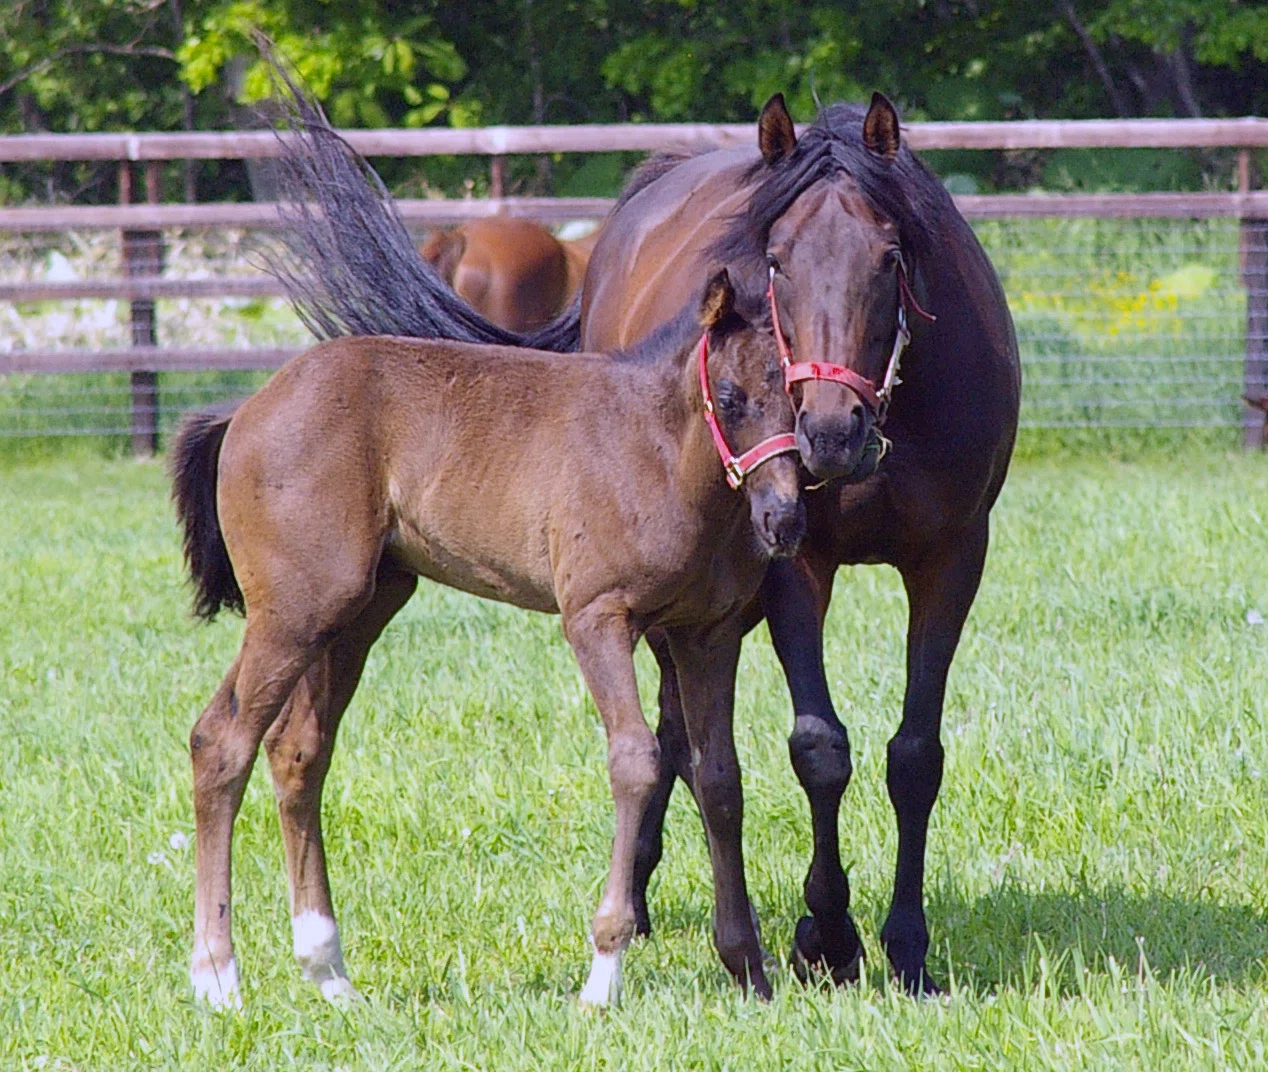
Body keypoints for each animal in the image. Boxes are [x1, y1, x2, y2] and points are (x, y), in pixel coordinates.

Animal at [170, 269, 804, 1009]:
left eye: (796, 395)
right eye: (729, 398)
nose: (785, 519)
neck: (659, 450)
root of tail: (247, 408)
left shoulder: (706, 634)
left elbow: (721, 778)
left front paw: (749, 969)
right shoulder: (596, 617)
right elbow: (636, 761)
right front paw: (603, 973)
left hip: (355, 609)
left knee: (298, 751)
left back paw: (328, 971)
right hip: (294, 610)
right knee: (221, 742)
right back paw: (217, 977)